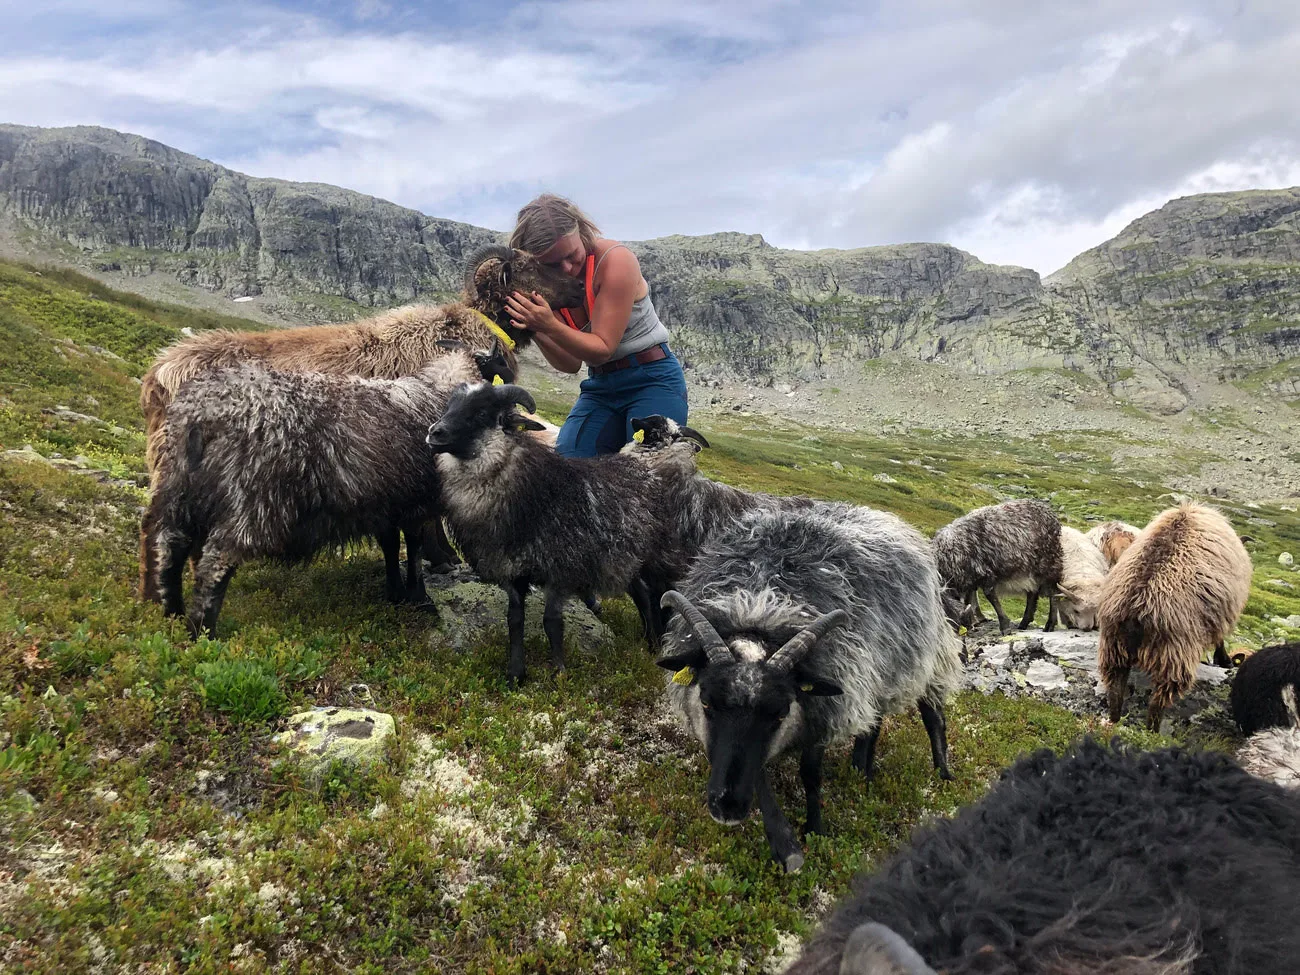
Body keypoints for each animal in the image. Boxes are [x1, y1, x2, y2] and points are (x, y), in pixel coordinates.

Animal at [142, 354, 481, 636]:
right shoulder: (414, 504)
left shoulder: (384, 504)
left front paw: (395, 592)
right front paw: (419, 598)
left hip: (178, 488)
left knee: (170, 545)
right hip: (253, 500)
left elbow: (390, 545)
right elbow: (413, 547)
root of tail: (203, 415)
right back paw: (203, 632)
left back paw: (172, 615)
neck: (437, 395)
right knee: (217, 561)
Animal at [424, 382, 684, 686]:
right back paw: (647, 640)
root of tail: (644, 469)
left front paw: (559, 672)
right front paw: (515, 674)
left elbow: (551, 622)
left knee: (651, 596)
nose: (434, 432)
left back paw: (654, 642)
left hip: (651, 558)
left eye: (482, 413)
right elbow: (515, 619)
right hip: (623, 557)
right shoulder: (512, 571)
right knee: (641, 593)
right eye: (449, 406)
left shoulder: (561, 570)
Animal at [655, 502, 963, 873]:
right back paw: (861, 768)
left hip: (930, 654)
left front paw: (814, 830)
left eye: (780, 713)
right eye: (706, 704)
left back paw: (942, 773)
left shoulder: (824, 708)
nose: (727, 807)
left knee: (933, 715)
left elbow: (810, 775)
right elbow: (757, 773)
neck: (759, 605)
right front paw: (783, 843)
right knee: (874, 721)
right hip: (876, 674)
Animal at [933, 499, 1064, 634]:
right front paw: (977, 620)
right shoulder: (970, 577)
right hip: (1030, 568)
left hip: (1049, 562)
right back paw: (1024, 623)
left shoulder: (983, 572)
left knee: (1054, 592)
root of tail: (1049, 512)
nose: (966, 627)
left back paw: (1049, 624)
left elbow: (990, 596)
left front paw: (1004, 626)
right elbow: (971, 598)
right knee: (1032, 593)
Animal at [1098, 503, 1253, 730]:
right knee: (1159, 700)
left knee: (1116, 690)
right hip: (1174, 652)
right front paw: (1224, 661)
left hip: (1113, 647)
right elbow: (1220, 639)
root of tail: (1135, 608)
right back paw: (1151, 732)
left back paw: (1115, 720)